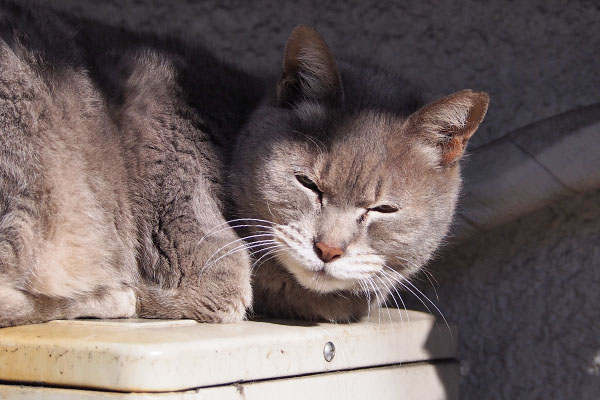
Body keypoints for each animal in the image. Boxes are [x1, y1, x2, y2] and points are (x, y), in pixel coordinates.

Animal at [0, 0, 488, 328]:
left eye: (383, 209)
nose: (328, 250)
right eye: (308, 183)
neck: (233, 129)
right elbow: (220, 291)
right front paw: (130, 295)